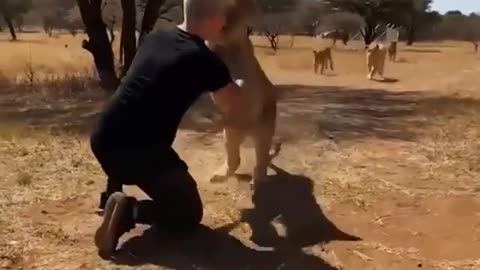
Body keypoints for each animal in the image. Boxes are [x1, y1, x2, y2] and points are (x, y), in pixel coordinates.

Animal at [207, 0, 282, 191]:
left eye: (234, 11)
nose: (222, 25)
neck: (227, 46)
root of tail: (245, 130)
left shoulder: (249, 79)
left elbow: (242, 85)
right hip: (229, 134)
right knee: (235, 158)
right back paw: (219, 175)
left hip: (263, 131)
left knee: (261, 159)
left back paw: (257, 181)